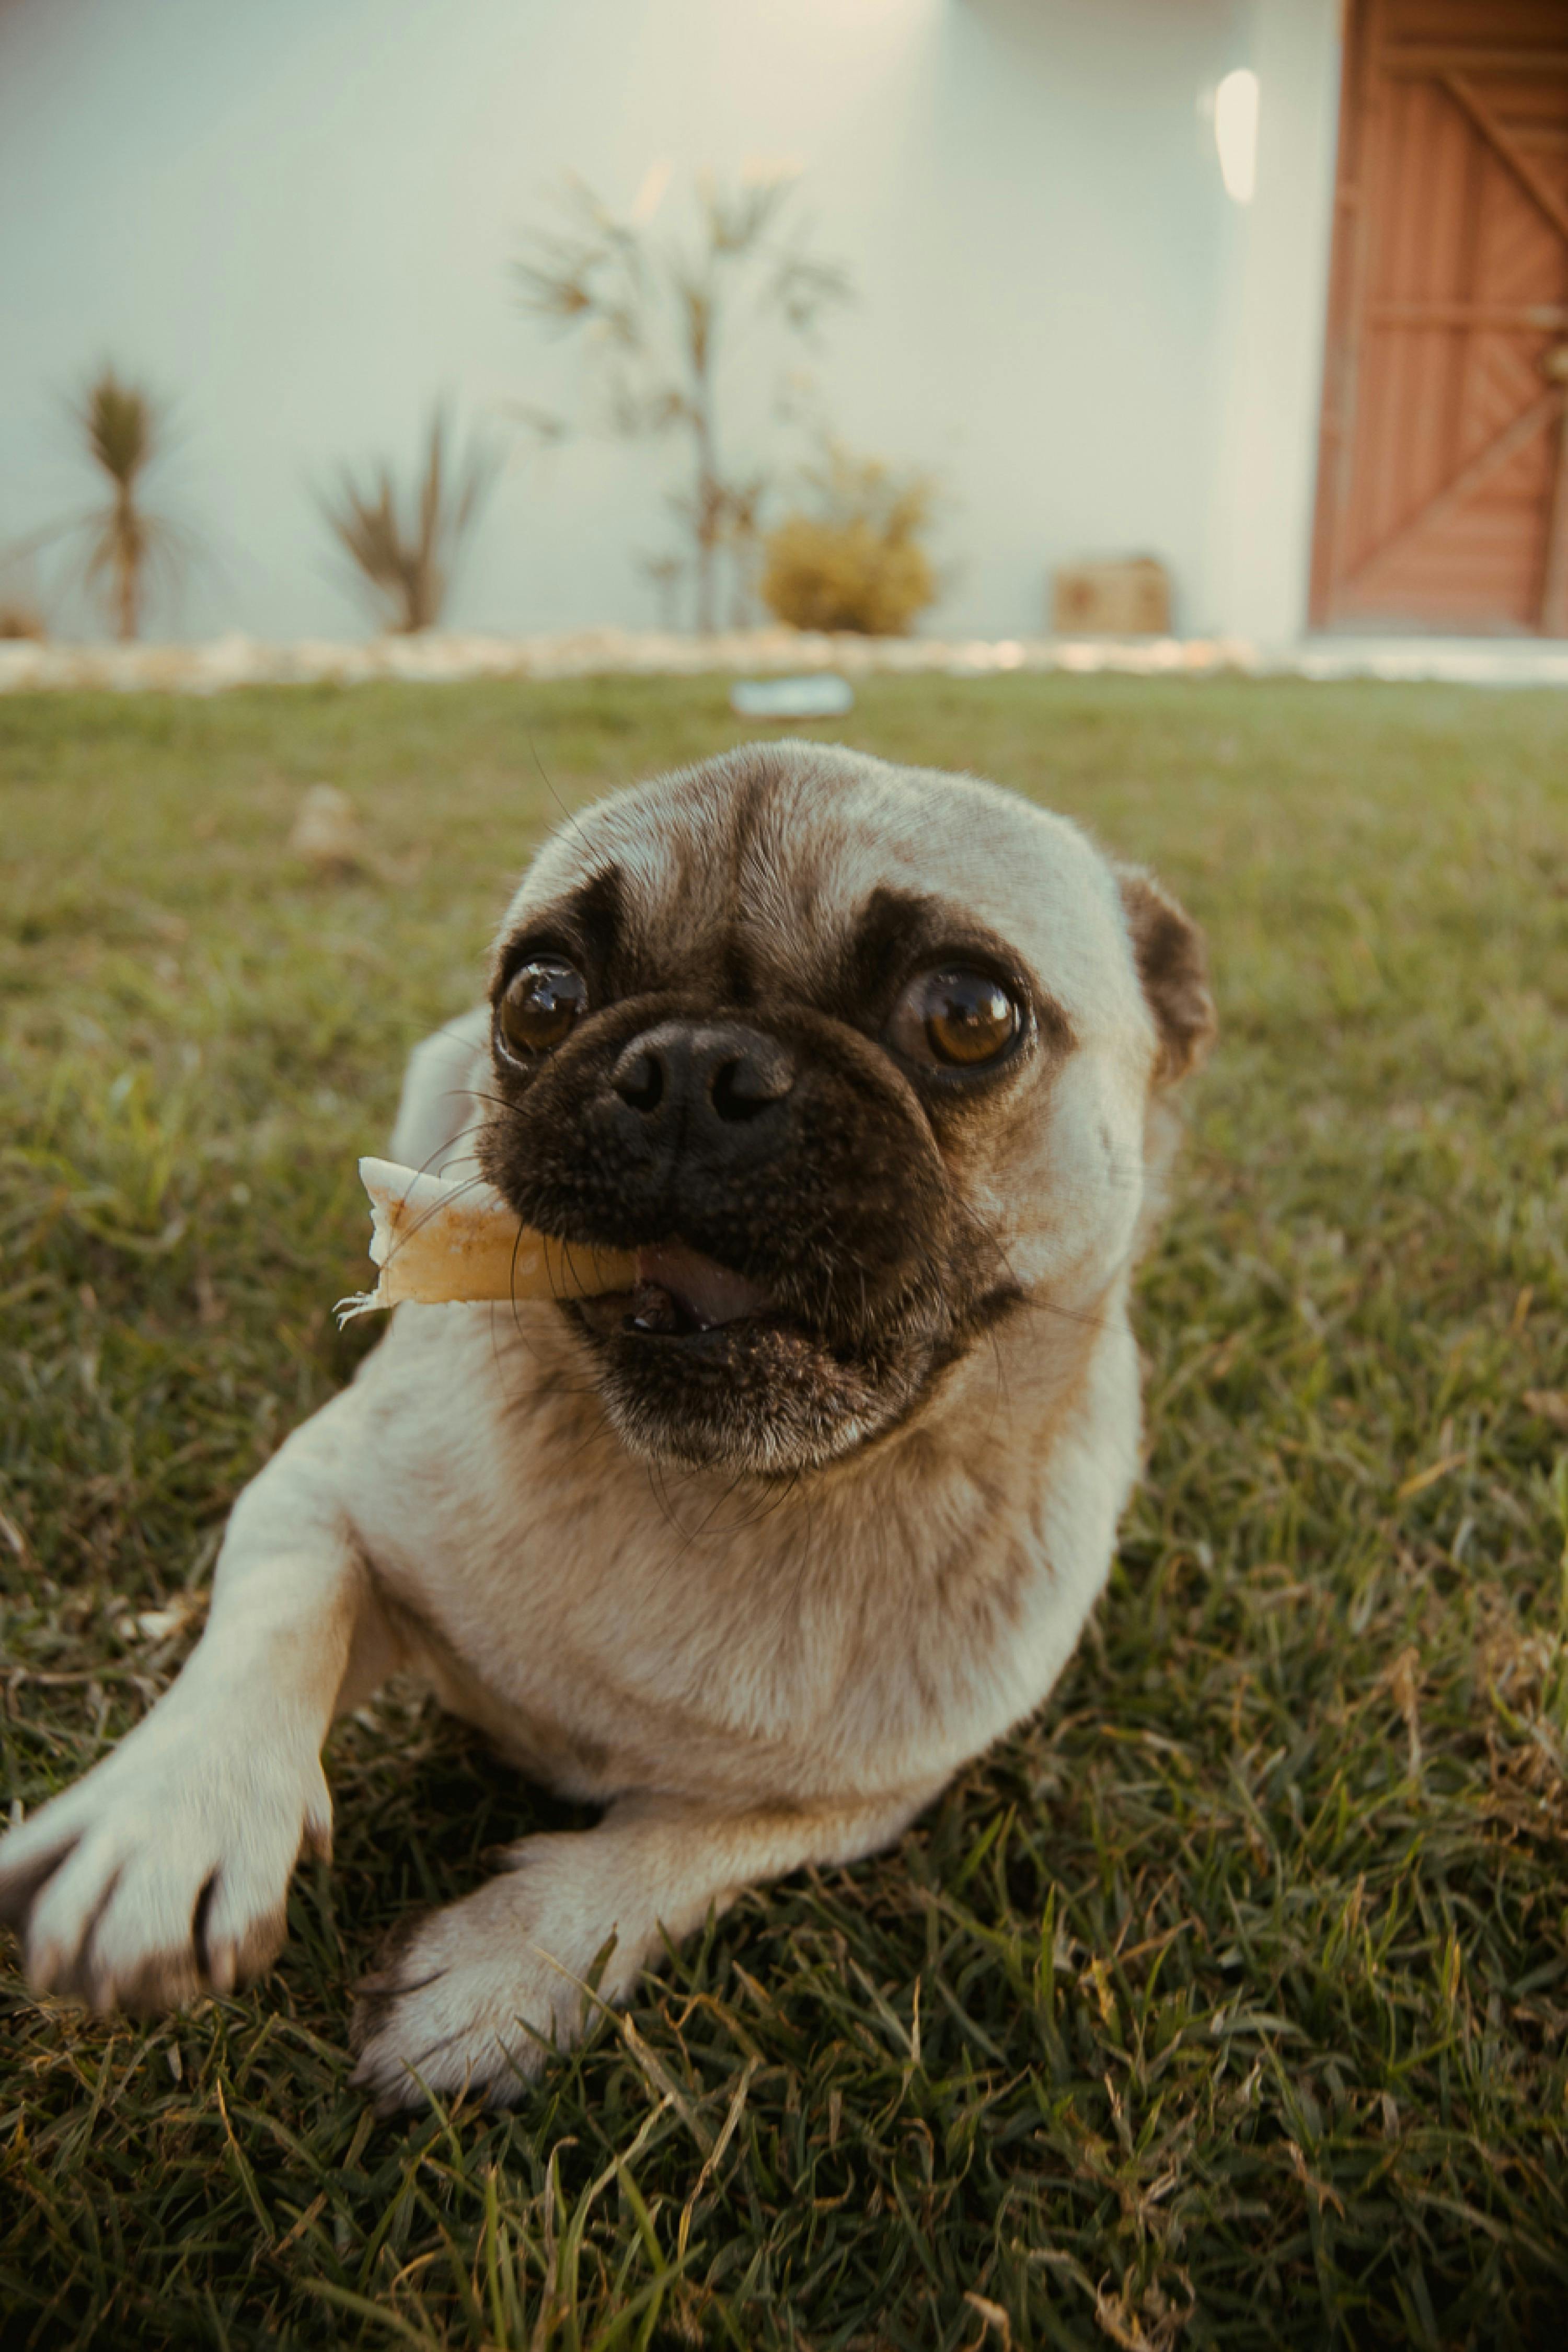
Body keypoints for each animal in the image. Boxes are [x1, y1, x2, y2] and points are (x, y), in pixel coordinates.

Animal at [0, 743, 1213, 2107]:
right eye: (542, 995)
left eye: (968, 1012)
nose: (693, 1065)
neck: (729, 1496)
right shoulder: (320, 1487)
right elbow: (277, 1618)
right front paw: (170, 1819)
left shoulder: (866, 1794)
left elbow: (680, 1847)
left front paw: (506, 1963)